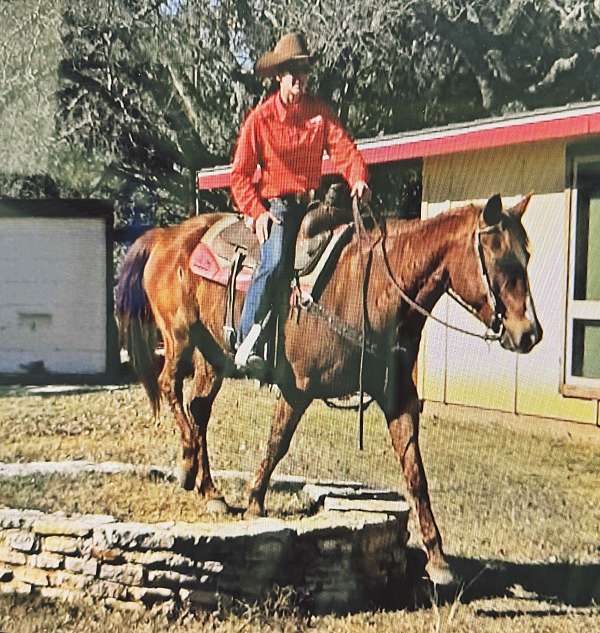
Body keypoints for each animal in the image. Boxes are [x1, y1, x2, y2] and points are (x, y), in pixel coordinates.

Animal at [115, 193, 540, 584]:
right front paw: (254, 501)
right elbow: (277, 442)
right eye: (503, 260)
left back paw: (206, 486)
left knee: (198, 407)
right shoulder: (297, 389)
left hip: (213, 354)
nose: (529, 333)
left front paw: (437, 559)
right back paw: (190, 462)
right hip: (179, 337)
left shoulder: (398, 399)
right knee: (170, 389)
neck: (373, 290)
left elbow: (414, 471)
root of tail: (166, 236)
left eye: (527, 257)